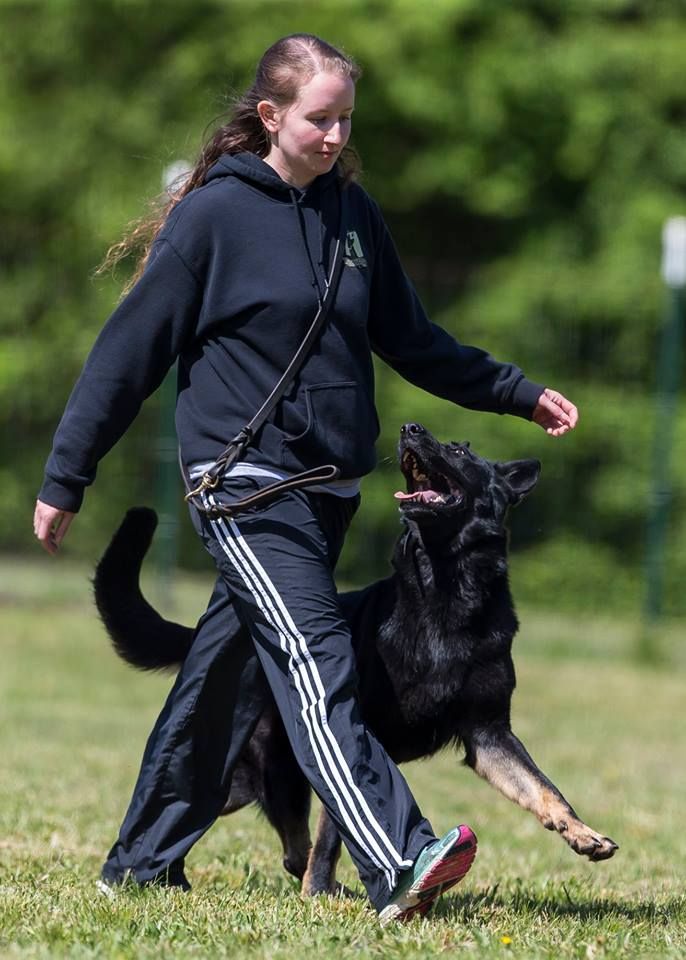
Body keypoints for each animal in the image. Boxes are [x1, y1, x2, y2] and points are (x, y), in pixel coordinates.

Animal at [92, 424, 620, 896]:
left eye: (458, 451)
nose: (409, 429)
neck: (445, 591)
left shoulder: (488, 735)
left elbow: (542, 787)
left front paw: (583, 833)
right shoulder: (355, 730)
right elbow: (335, 831)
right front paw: (319, 893)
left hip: (264, 782)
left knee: (289, 848)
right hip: (252, 778)